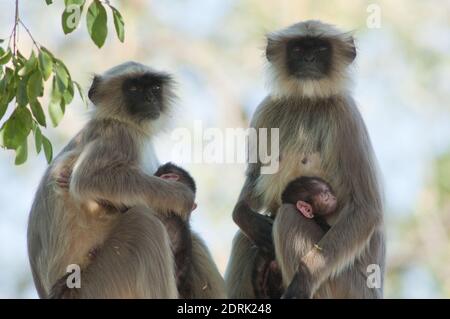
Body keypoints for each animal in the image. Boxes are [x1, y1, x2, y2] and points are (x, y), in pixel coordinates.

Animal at [26, 62, 225, 300]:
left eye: (154, 87)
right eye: (133, 89)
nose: (149, 98)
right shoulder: (118, 134)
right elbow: (89, 180)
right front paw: (184, 197)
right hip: (96, 285)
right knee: (144, 222)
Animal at [227, 20, 384, 300]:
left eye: (320, 49)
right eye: (298, 49)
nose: (309, 59)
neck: (308, 101)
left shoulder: (345, 116)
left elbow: (366, 208)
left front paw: (302, 280)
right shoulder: (266, 109)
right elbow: (254, 175)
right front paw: (243, 214)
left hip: (346, 286)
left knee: (288, 216)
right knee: (245, 239)